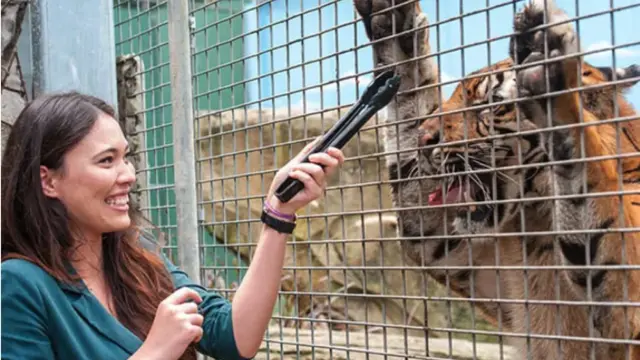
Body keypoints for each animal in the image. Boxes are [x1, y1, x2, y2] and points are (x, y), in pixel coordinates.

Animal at [352, 0, 636, 360]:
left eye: (490, 103)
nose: (423, 139)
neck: (537, 219)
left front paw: (549, 63)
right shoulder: (448, 247)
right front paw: (392, 26)